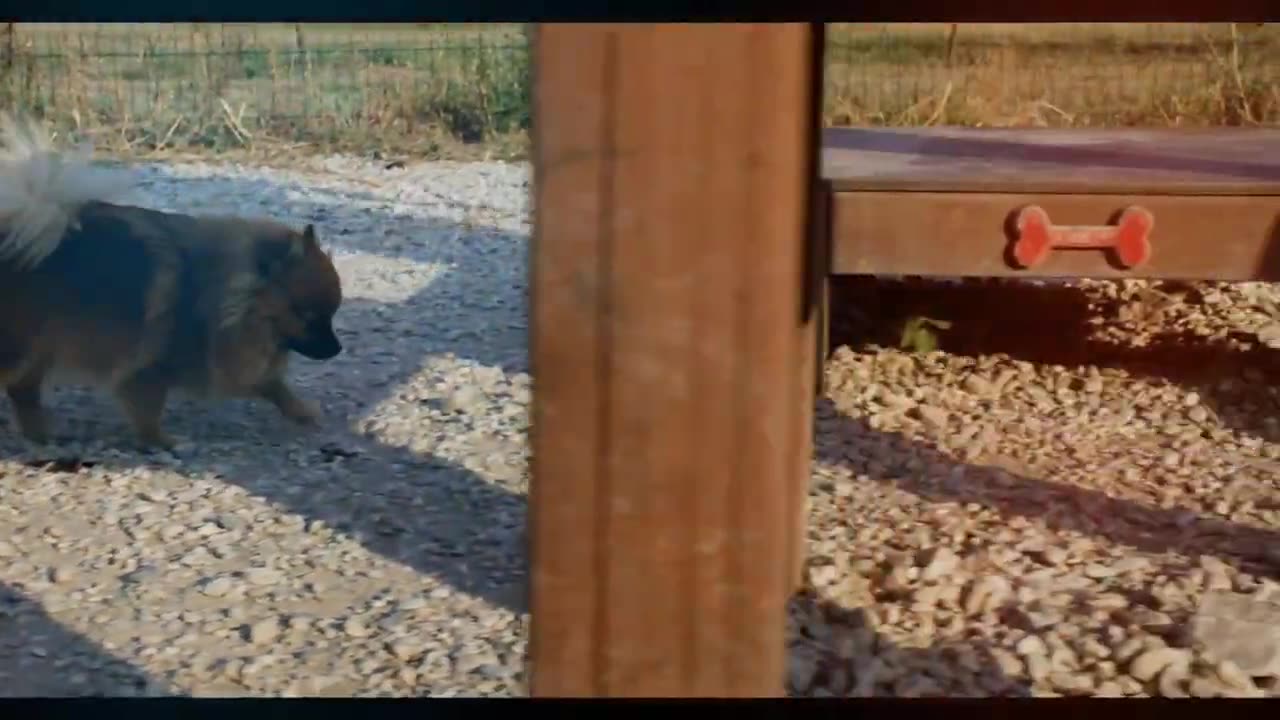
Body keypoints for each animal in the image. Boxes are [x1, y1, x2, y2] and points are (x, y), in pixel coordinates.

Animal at [0, 114, 343, 445]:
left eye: (331, 315)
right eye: (308, 316)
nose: (337, 349)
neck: (229, 298)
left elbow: (275, 386)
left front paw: (302, 412)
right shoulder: (149, 366)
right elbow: (148, 410)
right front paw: (162, 440)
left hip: (39, 343)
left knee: (23, 390)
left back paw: (41, 434)